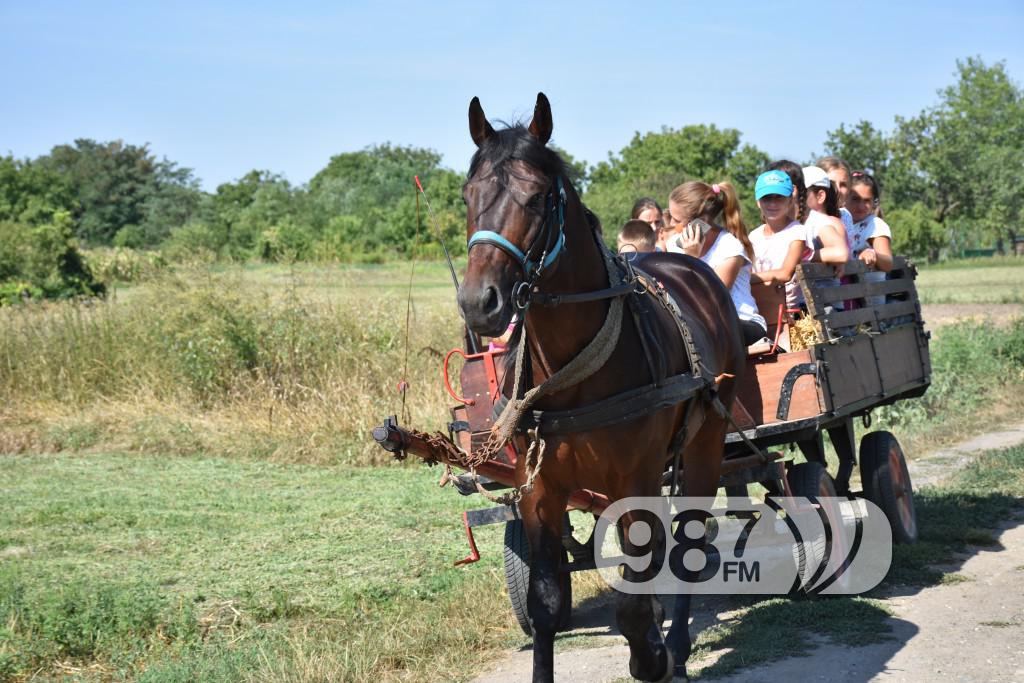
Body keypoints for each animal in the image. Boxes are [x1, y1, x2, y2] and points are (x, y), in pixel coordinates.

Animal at [458, 92, 745, 683]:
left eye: (538, 198)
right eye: (468, 195)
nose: (480, 302)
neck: (573, 371)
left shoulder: (634, 477)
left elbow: (633, 604)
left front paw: (653, 655)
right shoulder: (538, 489)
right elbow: (545, 606)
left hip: (705, 445)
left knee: (689, 538)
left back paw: (676, 646)